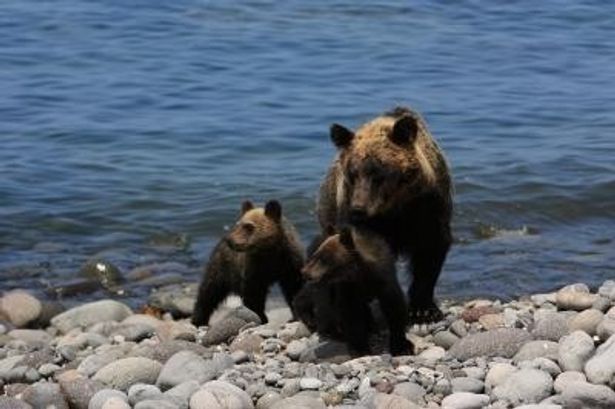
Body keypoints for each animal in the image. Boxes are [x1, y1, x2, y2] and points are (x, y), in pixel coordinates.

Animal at [318, 107, 452, 324]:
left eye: (378, 173)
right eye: (352, 173)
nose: (358, 208)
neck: (393, 208)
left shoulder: (427, 209)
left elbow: (430, 252)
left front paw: (424, 310)